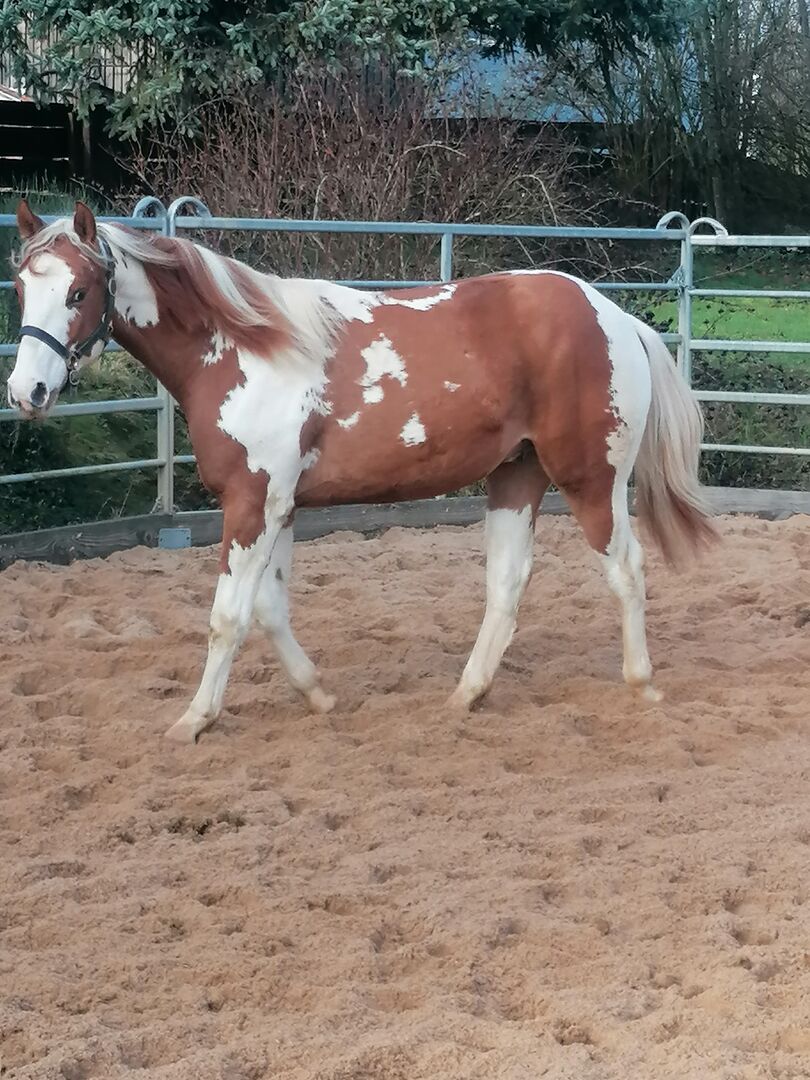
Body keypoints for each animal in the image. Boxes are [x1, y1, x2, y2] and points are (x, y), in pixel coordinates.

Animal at [7, 201, 717, 743]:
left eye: (77, 291)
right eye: (20, 288)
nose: (25, 392)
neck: (241, 350)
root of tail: (616, 318)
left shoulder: (252, 502)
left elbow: (228, 615)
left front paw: (194, 720)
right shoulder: (278, 506)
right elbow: (270, 609)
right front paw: (318, 695)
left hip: (592, 480)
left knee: (626, 570)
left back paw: (642, 685)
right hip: (517, 477)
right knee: (507, 584)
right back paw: (466, 695)